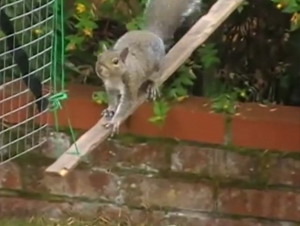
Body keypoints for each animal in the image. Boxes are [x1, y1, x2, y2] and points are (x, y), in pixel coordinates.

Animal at [94, 0, 202, 134]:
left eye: (115, 62)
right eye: (99, 57)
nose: (99, 69)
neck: (114, 78)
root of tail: (151, 33)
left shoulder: (130, 84)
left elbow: (126, 104)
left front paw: (115, 121)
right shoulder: (110, 87)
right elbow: (113, 100)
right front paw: (110, 109)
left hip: (156, 69)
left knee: (157, 77)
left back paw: (153, 86)